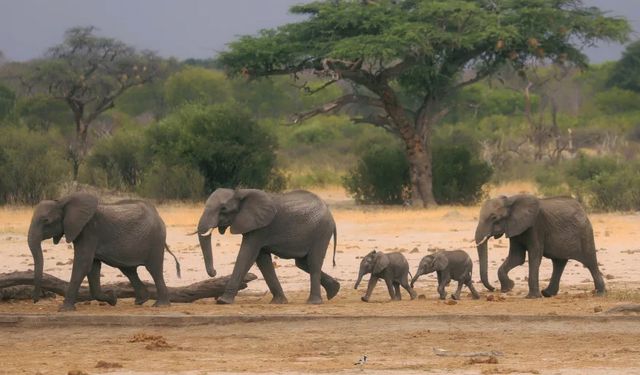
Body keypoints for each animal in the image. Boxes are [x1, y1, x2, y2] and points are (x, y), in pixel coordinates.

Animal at [27, 194, 180, 312]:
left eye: (46, 220)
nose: (35, 301)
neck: (63, 202)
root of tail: (158, 215)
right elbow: (92, 267)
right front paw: (113, 298)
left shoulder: (89, 231)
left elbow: (83, 264)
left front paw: (64, 310)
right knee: (129, 270)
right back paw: (140, 300)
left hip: (155, 241)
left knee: (154, 269)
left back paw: (161, 306)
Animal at [196, 188, 340, 306]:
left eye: (224, 209)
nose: (214, 272)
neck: (240, 192)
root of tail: (331, 215)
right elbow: (262, 259)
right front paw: (278, 302)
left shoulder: (261, 228)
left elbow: (247, 254)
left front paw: (223, 301)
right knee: (303, 263)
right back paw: (334, 291)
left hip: (321, 232)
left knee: (313, 262)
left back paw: (313, 302)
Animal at [476, 197, 604, 300]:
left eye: (494, 218)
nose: (493, 289)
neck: (511, 200)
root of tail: (582, 210)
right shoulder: (515, 228)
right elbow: (517, 257)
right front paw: (508, 287)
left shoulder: (536, 226)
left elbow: (534, 255)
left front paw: (532, 297)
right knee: (559, 263)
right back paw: (547, 293)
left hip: (584, 233)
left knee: (590, 262)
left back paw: (600, 293)